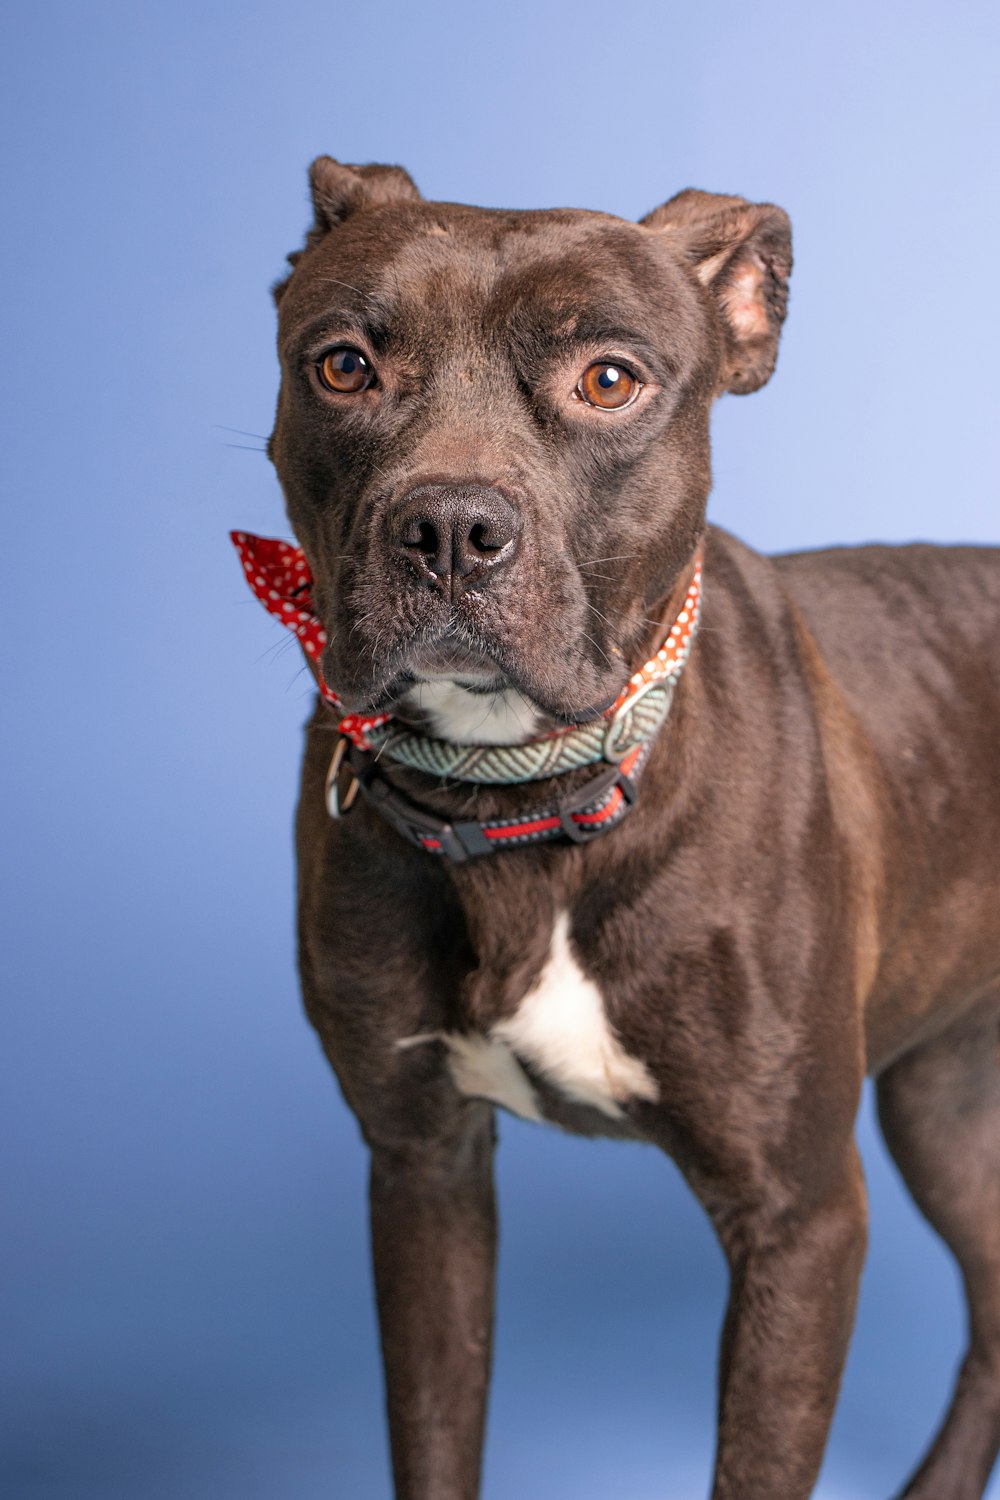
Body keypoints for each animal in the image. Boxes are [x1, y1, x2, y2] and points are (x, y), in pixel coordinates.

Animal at [238, 158, 1000, 1494]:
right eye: (341, 365)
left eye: (607, 380)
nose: (447, 527)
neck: (523, 799)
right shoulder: (422, 1168)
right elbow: (434, 1435)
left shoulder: (800, 1218)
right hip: (944, 1098)